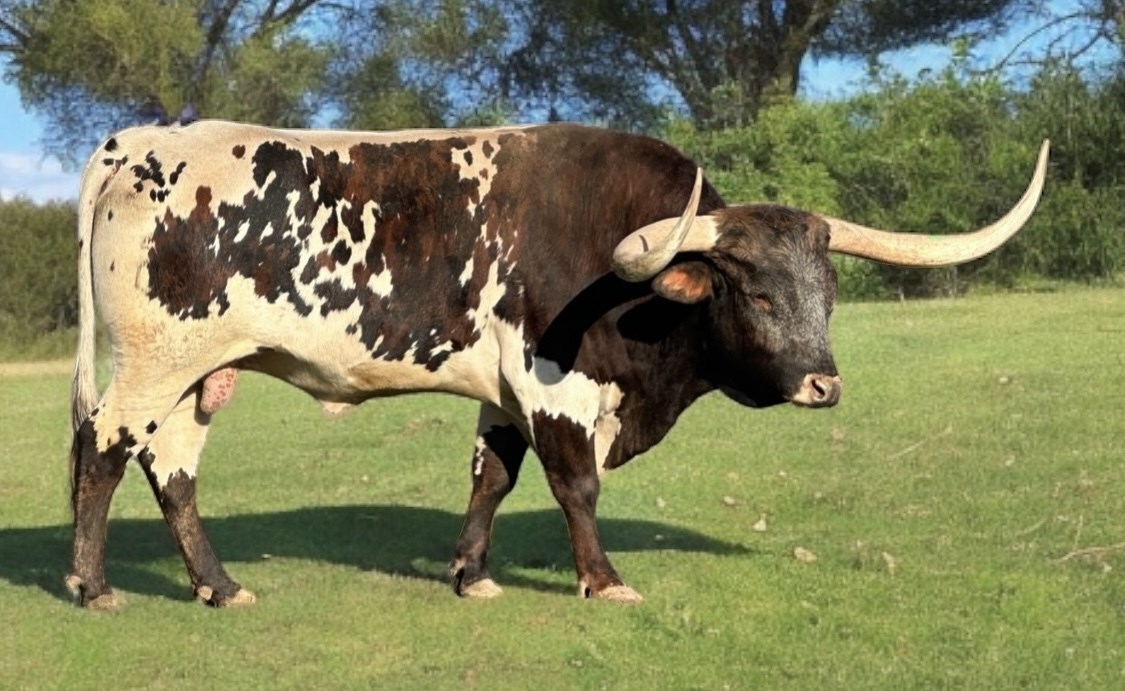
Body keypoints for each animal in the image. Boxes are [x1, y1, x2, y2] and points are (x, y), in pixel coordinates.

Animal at [65, 120, 1049, 609]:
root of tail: (137, 142)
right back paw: (95, 585)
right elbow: (574, 483)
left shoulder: (503, 390)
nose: (822, 383)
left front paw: (471, 574)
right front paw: (602, 578)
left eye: (829, 292)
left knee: (171, 468)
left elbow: (490, 475)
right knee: (105, 448)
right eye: (759, 295)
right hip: (155, 360)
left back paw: (219, 585)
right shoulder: (555, 382)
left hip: (198, 374)